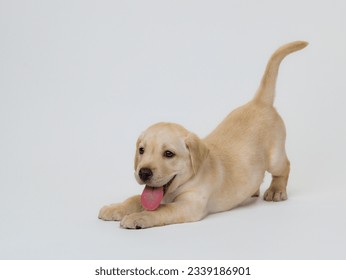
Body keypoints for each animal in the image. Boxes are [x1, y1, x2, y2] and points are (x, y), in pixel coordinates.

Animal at [98, 41, 306, 230]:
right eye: (141, 150)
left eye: (168, 154)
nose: (143, 172)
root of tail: (259, 102)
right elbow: (135, 198)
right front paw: (114, 208)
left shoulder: (190, 205)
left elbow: (161, 210)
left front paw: (137, 217)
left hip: (275, 157)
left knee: (285, 167)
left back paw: (276, 190)